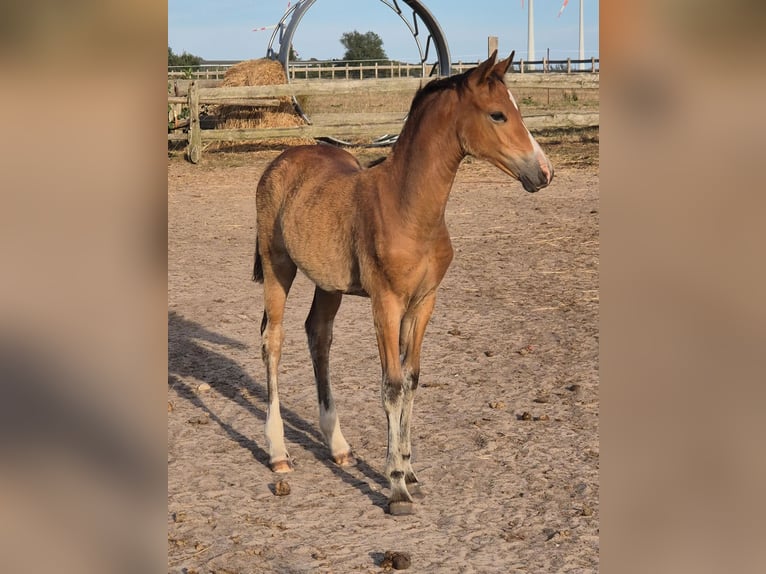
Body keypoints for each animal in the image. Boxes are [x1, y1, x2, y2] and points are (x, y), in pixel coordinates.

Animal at [255, 51, 556, 516]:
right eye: (498, 114)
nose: (544, 172)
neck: (408, 207)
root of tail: (280, 160)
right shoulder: (386, 303)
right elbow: (392, 386)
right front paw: (396, 487)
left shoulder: (424, 302)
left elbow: (412, 378)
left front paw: (409, 468)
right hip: (277, 268)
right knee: (274, 340)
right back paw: (278, 453)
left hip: (329, 284)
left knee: (318, 336)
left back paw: (338, 446)